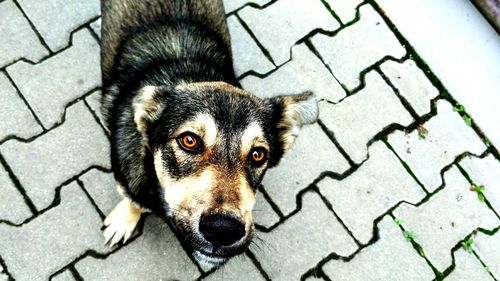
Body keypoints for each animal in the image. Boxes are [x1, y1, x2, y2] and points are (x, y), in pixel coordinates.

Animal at [100, 0, 318, 264]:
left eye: (258, 154)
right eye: (189, 140)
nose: (223, 230)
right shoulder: (127, 179)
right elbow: (133, 201)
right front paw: (125, 219)